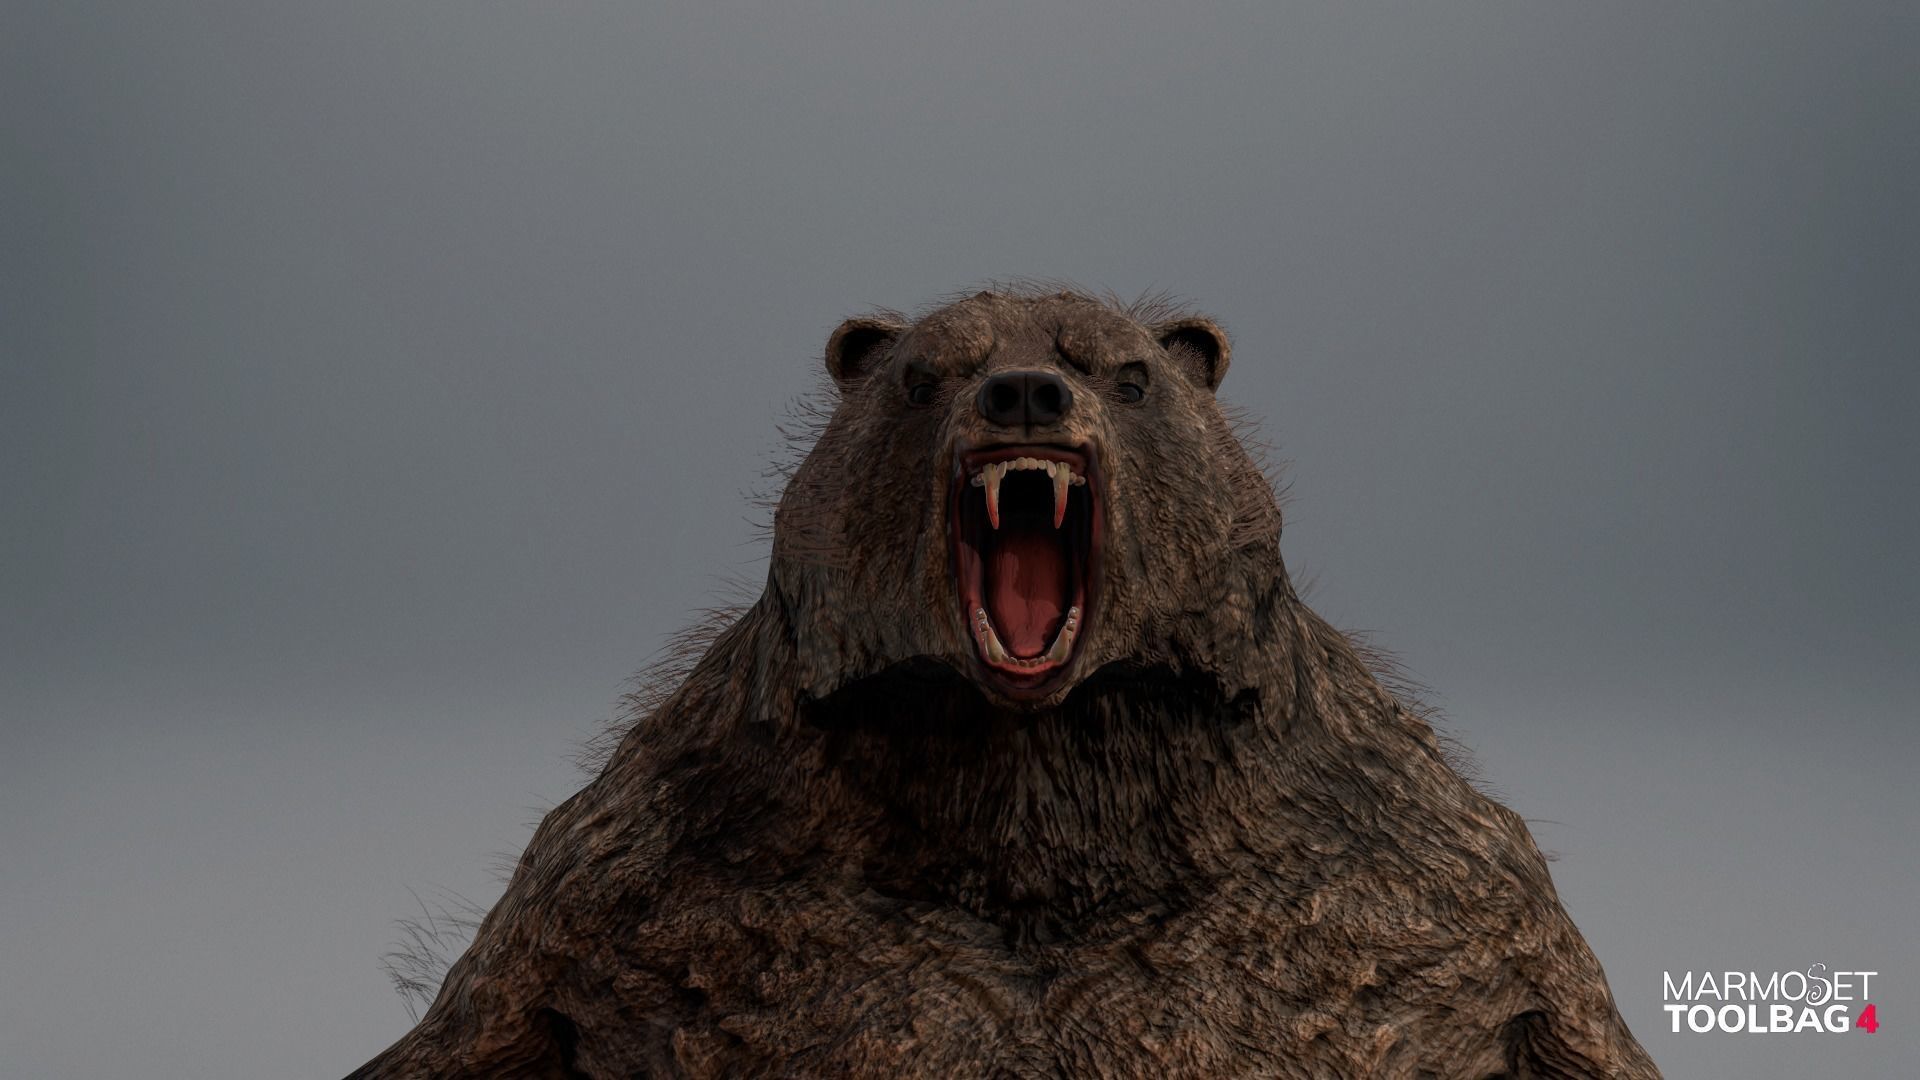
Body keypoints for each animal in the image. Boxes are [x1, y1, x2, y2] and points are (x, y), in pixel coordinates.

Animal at [348, 288, 1658, 1078]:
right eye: (927, 373)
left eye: (1126, 373)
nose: (1024, 390)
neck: (1035, 792)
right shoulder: (631, 875)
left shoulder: (1420, 878)